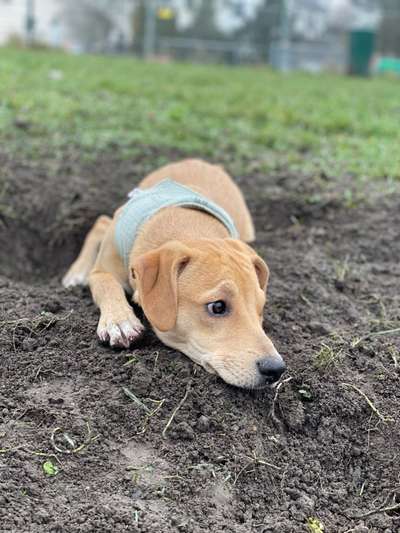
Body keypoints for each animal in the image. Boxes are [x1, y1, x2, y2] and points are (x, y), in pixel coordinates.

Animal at [62, 158, 284, 386]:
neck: (184, 222)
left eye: (260, 307)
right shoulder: (101, 271)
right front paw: (120, 321)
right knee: (101, 222)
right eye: (217, 306)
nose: (276, 369)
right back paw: (77, 272)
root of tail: (195, 160)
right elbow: (106, 283)